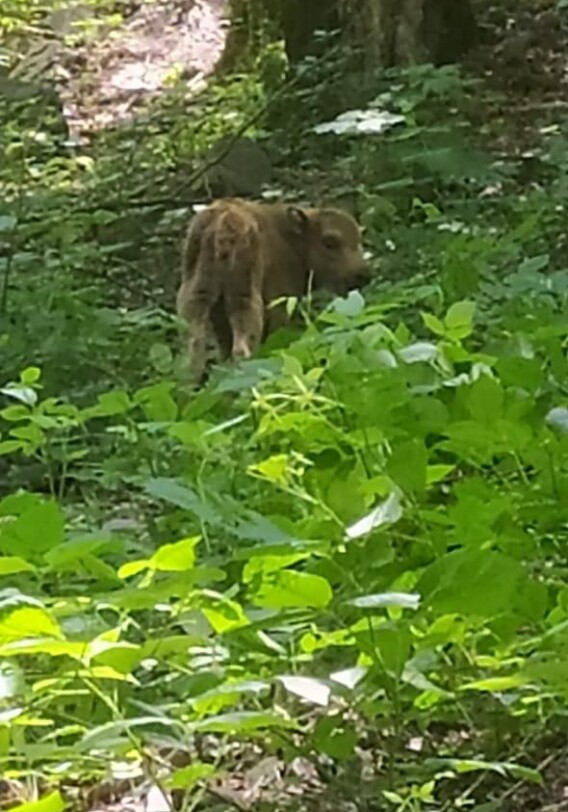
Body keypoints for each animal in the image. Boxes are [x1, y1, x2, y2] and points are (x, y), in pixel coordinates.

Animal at [176, 198, 368, 386]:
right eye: (329, 242)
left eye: (358, 240)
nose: (362, 275)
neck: (293, 241)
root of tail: (222, 222)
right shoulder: (280, 303)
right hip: (245, 296)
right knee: (241, 345)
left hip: (199, 295)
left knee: (196, 344)